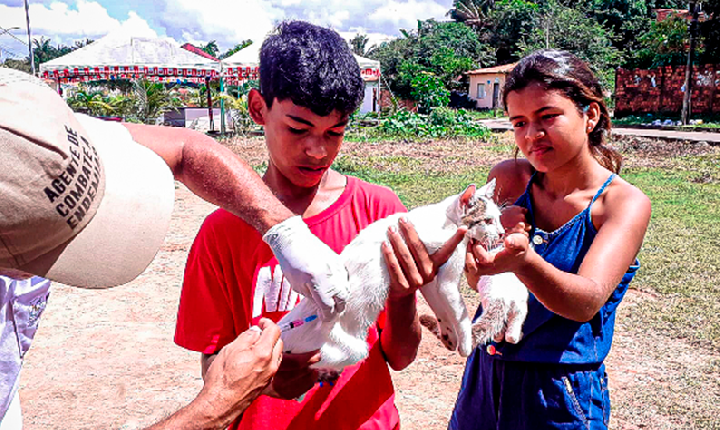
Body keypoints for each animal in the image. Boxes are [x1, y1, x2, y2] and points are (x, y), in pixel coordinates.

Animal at [278, 180, 520, 372]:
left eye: (499, 219)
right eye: (487, 220)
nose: (501, 233)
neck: (445, 218)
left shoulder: (430, 276)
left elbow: (441, 308)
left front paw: (449, 336)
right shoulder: (448, 277)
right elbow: (459, 312)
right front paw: (466, 344)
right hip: (348, 350)